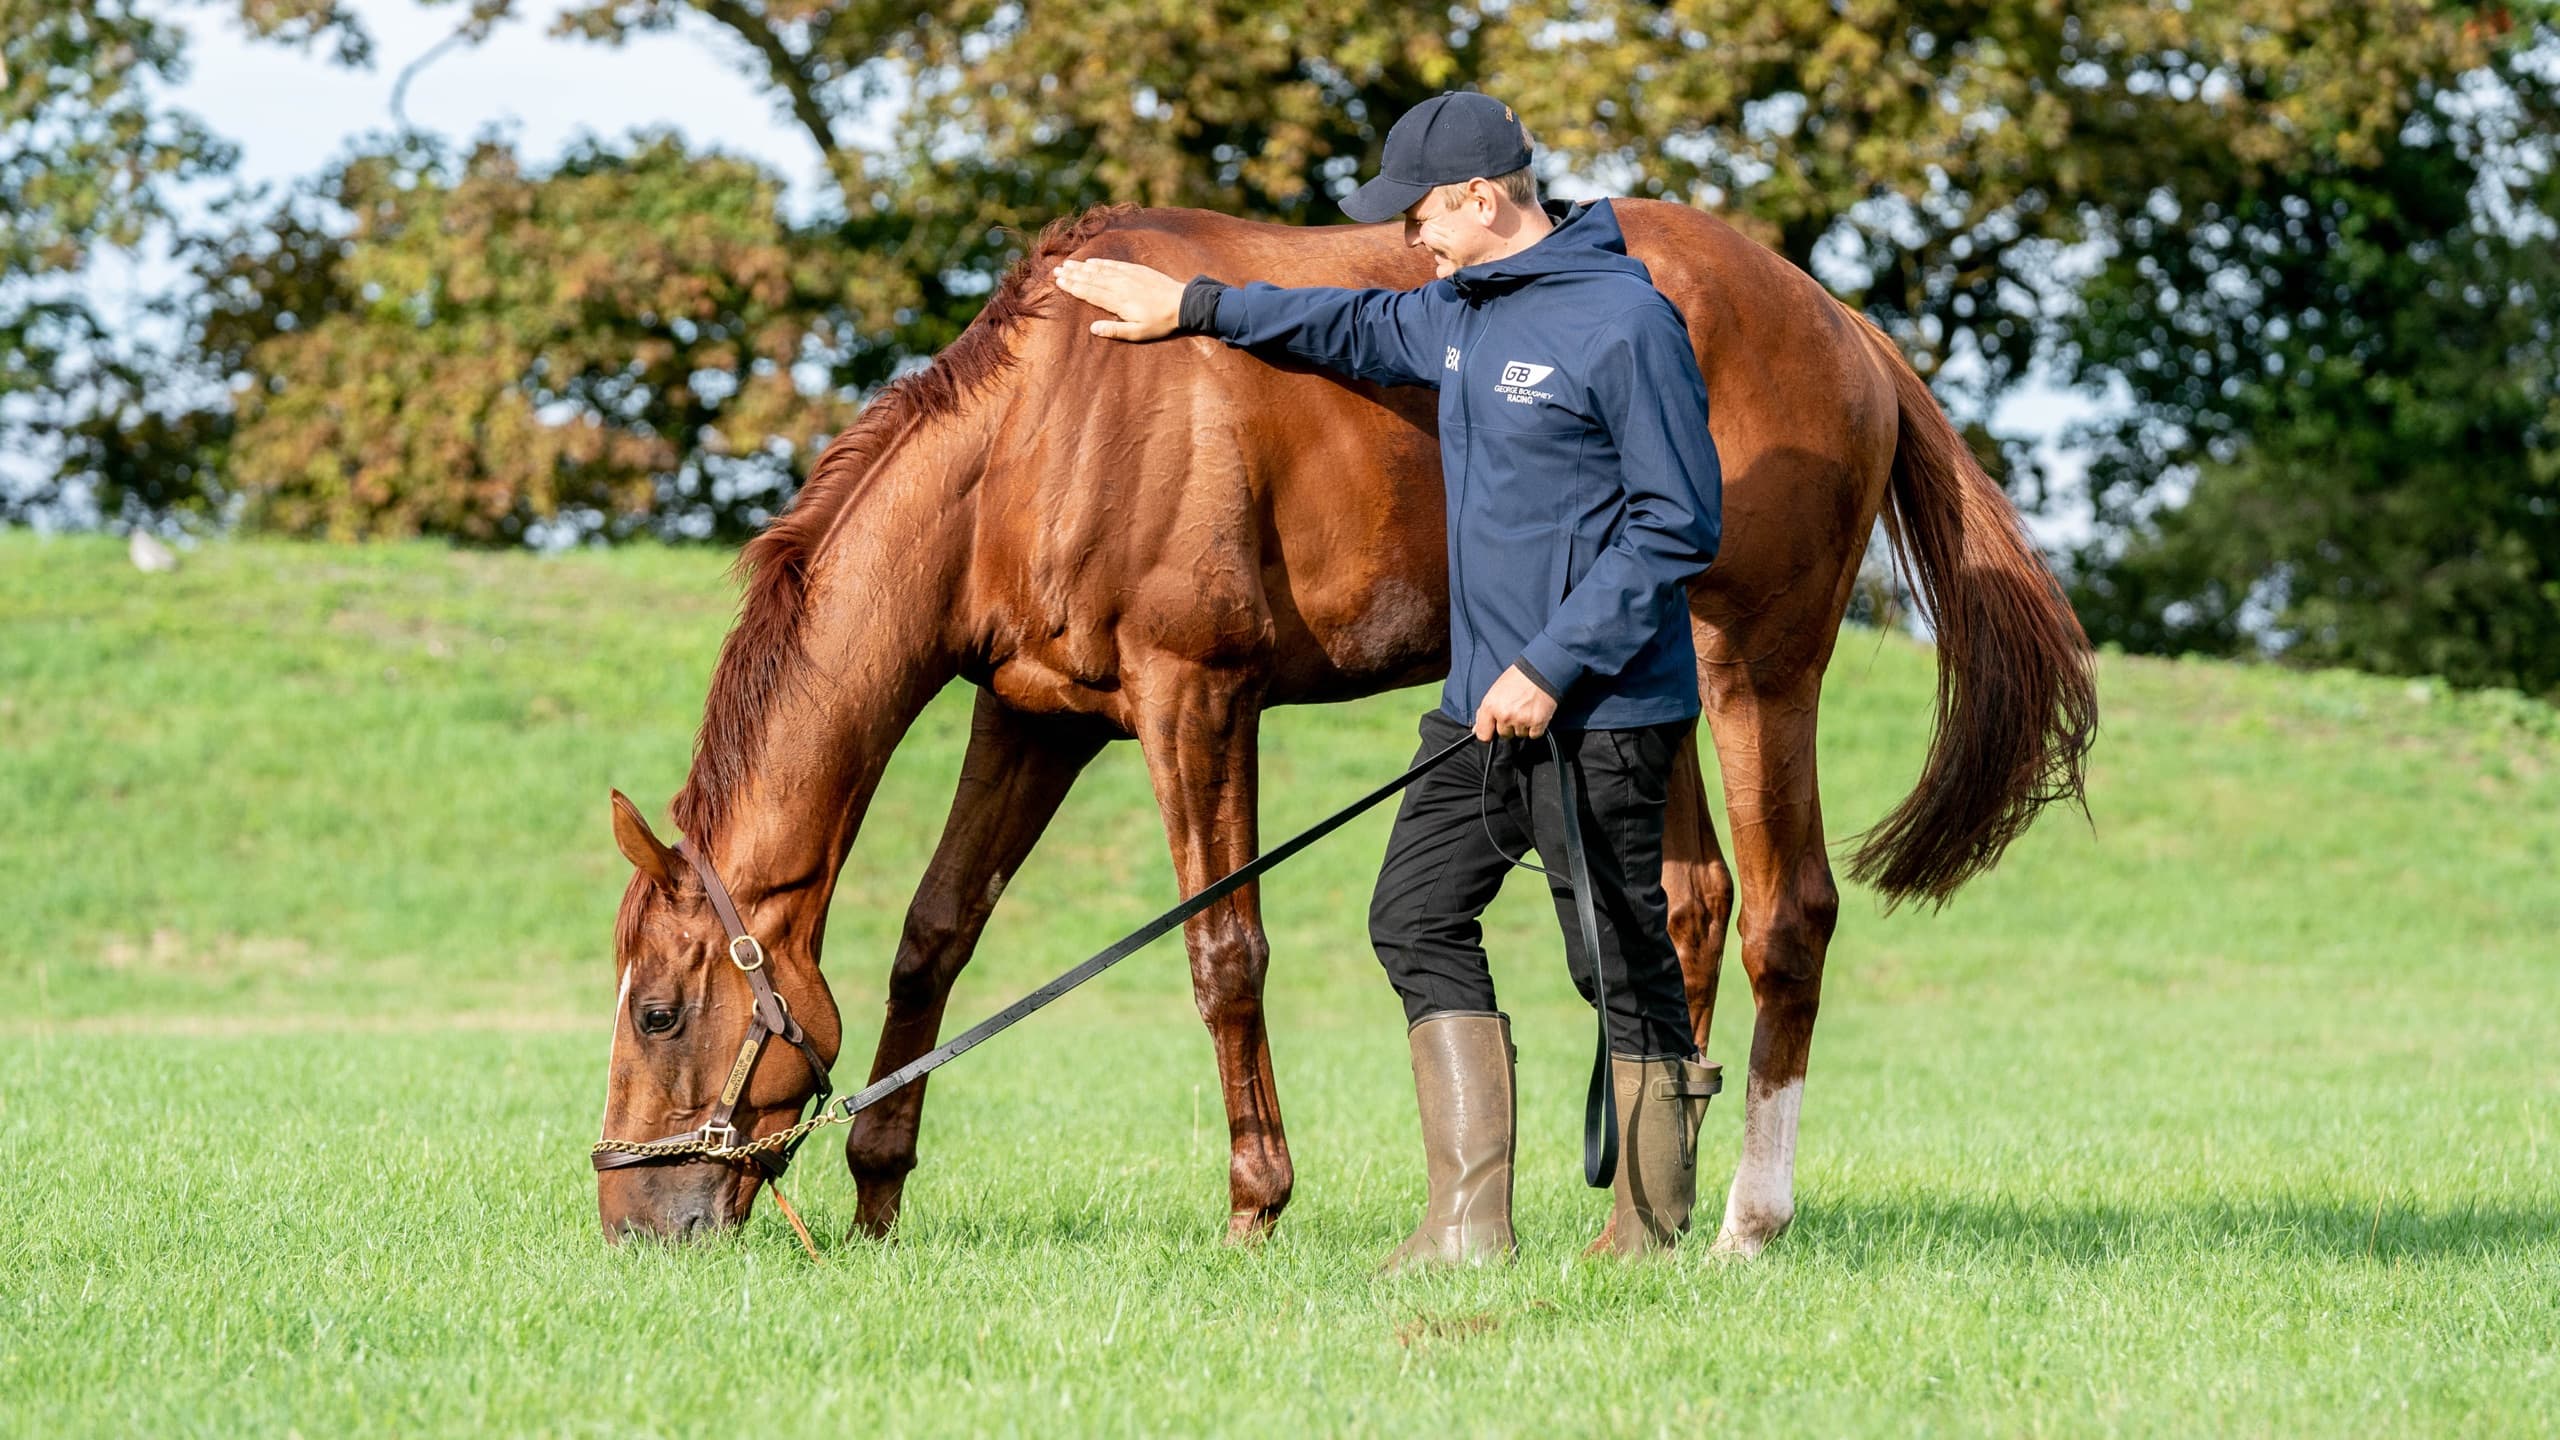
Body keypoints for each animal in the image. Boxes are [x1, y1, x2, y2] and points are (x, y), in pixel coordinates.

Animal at [593, 198, 2097, 1252]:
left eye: (661, 1012)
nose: (631, 1224)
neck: (1048, 424)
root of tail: (1839, 322)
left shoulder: (1196, 701)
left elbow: (1224, 953)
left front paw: (1257, 1201)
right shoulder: (1032, 720)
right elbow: (933, 938)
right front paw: (878, 1192)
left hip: (1754, 672)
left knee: (1791, 914)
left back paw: (1744, 1222)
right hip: (1639, 686)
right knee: (1684, 907)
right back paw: (1639, 1207)